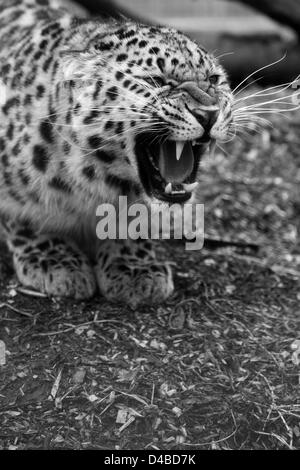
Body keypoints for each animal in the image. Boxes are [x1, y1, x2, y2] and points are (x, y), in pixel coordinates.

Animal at [0, 0, 234, 308]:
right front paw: (53, 258)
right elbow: (25, 219)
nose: (209, 113)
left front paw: (134, 267)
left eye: (214, 80)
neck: (92, 179)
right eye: (156, 81)